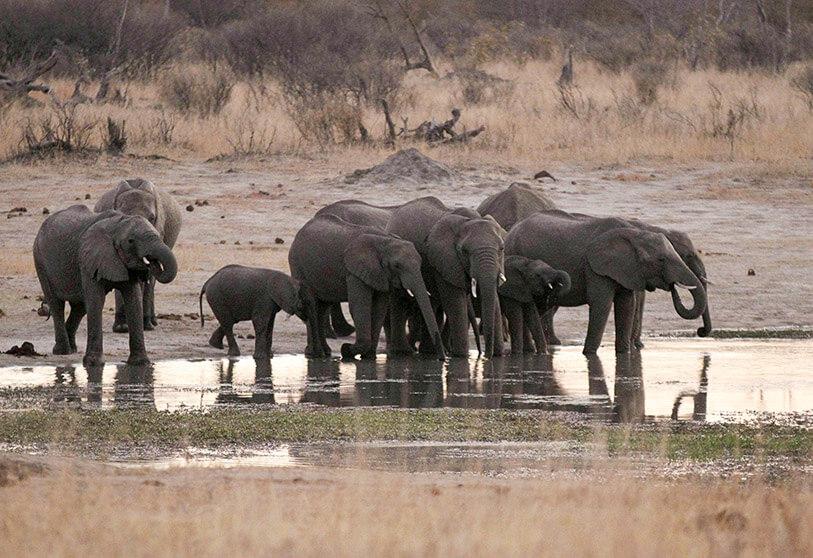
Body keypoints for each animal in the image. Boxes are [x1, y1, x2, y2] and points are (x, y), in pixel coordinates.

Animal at [33, 205, 178, 367]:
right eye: (131, 241)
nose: (151, 263)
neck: (118, 223)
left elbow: (133, 301)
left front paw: (141, 363)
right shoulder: (88, 259)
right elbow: (96, 300)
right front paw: (93, 364)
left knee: (80, 308)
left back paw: (72, 349)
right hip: (40, 260)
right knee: (56, 304)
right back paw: (62, 351)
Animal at [288, 214, 445, 360]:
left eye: (420, 263)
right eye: (397, 266)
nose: (442, 359)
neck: (386, 240)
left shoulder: (381, 274)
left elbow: (378, 309)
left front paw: (368, 357)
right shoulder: (354, 271)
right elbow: (360, 307)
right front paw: (346, 350)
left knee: (322, 308)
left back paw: (324, 353)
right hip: (298, 266)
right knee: (311, 305)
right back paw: (314, 354)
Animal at [386, 197, 506, 358]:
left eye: (502, 248)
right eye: (464, 251)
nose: (485, 355)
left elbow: (493, 300)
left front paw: (498, 356)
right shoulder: (444, 259)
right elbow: (455, 303)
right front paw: (462, 356)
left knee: (432, 303)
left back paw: (429, 352)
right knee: (400, 301)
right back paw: (403, 352)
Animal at [505, 210, 707, 355]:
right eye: (661, 260)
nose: (701, 331)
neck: (634, 233)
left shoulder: (626, 269)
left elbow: (626, 305)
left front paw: (624, 354)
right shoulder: (596, 268)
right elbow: (602, 304)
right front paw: (589, 354)